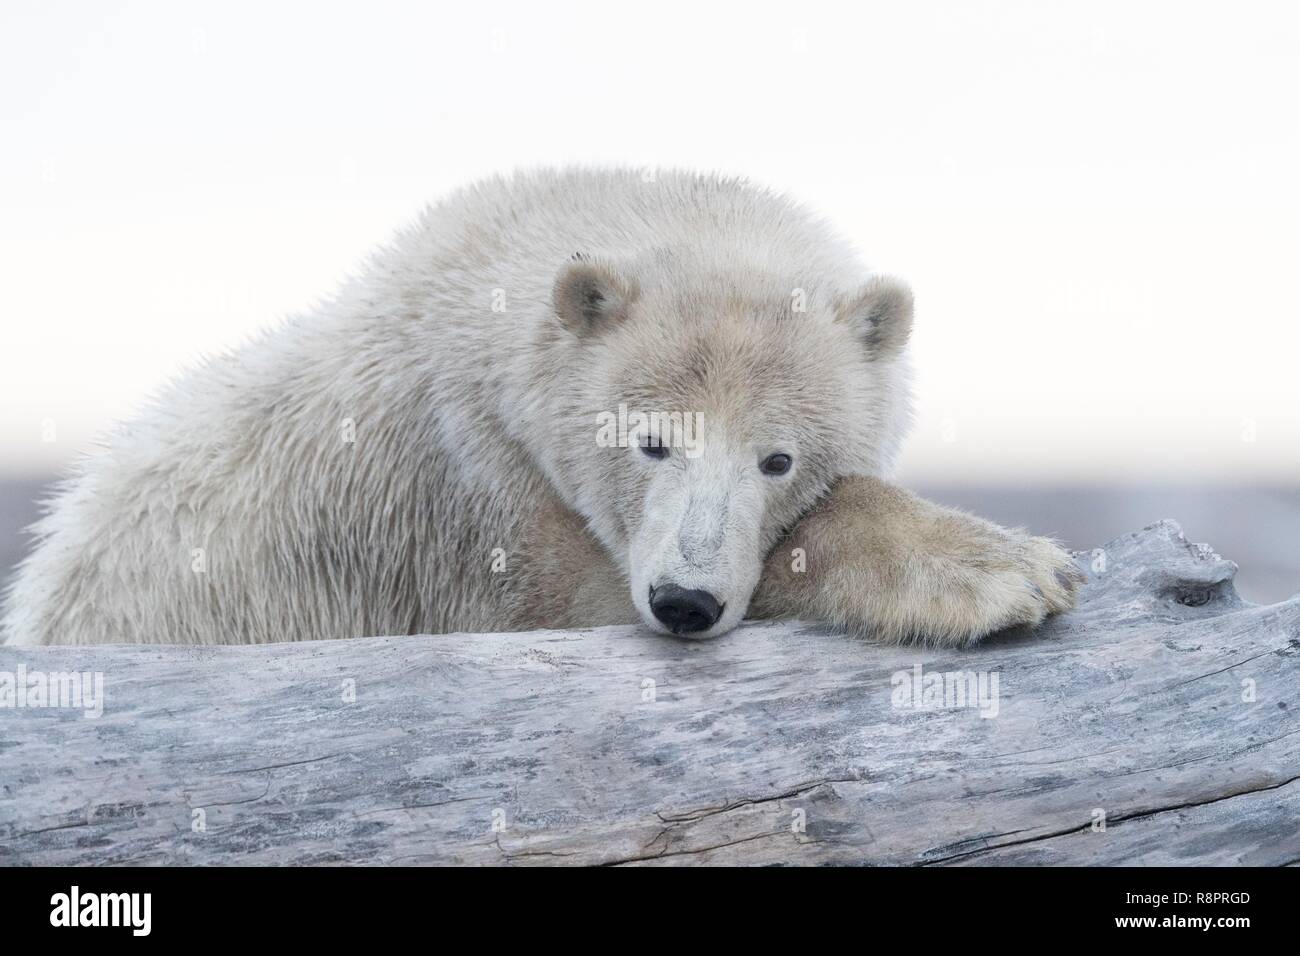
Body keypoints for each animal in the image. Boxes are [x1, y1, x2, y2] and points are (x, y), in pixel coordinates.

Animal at [0, 170, 1081, 650]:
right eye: (647, 441)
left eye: (777, 459)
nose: (684, 601)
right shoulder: (461, 490)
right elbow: (581, 599)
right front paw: (992, 572)